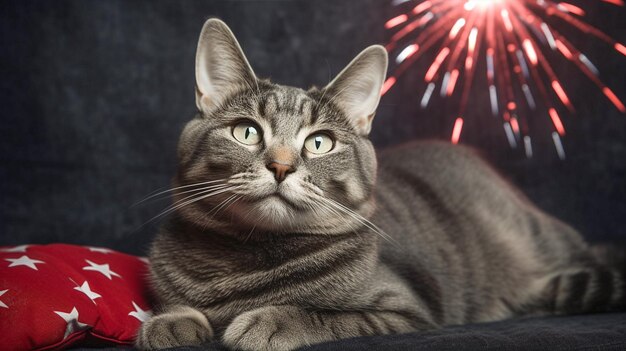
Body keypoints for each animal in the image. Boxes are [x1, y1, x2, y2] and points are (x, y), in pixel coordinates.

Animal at [134, 20, 620, 351]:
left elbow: (325, 315)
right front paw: (168, 322)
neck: (244, 261)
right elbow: (173, 305)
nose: (280, 166)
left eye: (320, 142)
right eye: (247, 132)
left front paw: (269, 321)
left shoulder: (405, 309)